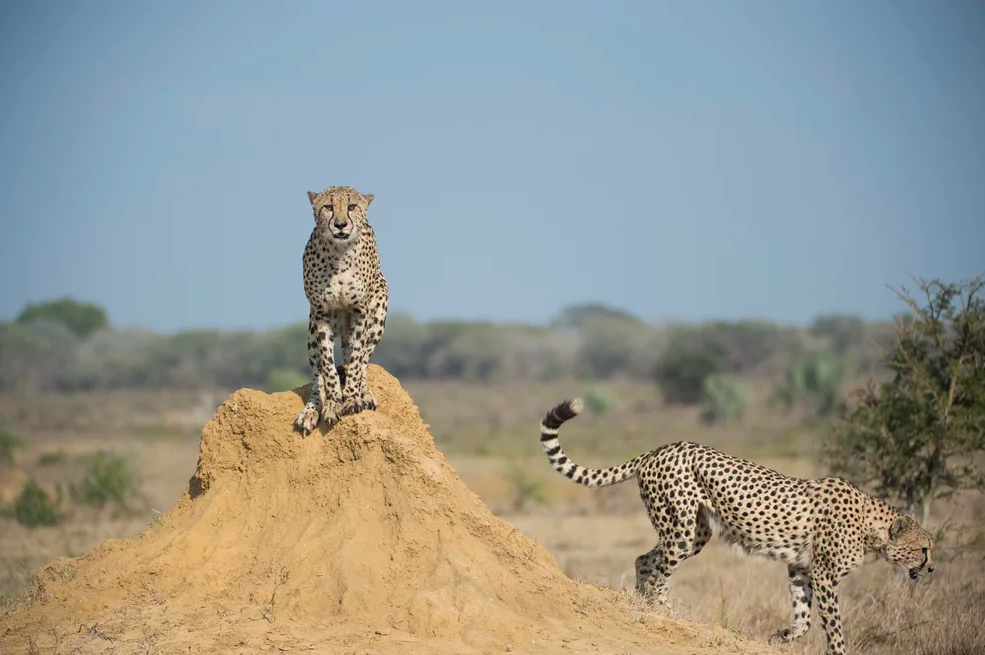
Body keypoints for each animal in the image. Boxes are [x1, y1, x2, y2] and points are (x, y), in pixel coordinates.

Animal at [292, 188, 388, 436]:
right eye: (328, 207)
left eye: (352, 206)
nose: (341, 225)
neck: (339, 253)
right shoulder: (321, 313)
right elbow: (327, 366)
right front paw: (334, 403)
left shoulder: (360, 311)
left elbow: (356, 361)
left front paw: (352, 398)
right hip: (311, 331)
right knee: (317, 379)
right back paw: (310, 412)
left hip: (380, 306)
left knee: (362, 360)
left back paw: (365, 394)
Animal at [536, 400, 936, 655]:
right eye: (923, 549)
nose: (931, 568)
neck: (873, 528)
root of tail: (661, 448)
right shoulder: (824, 574)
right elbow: (833, 624)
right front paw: (836, 649)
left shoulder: (800, 568)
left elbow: (804, 617)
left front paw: (783, 636)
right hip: (681, 528)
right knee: (660, 569)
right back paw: (660, 610)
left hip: (694, 533)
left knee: (644, 559)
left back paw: (644, 604)